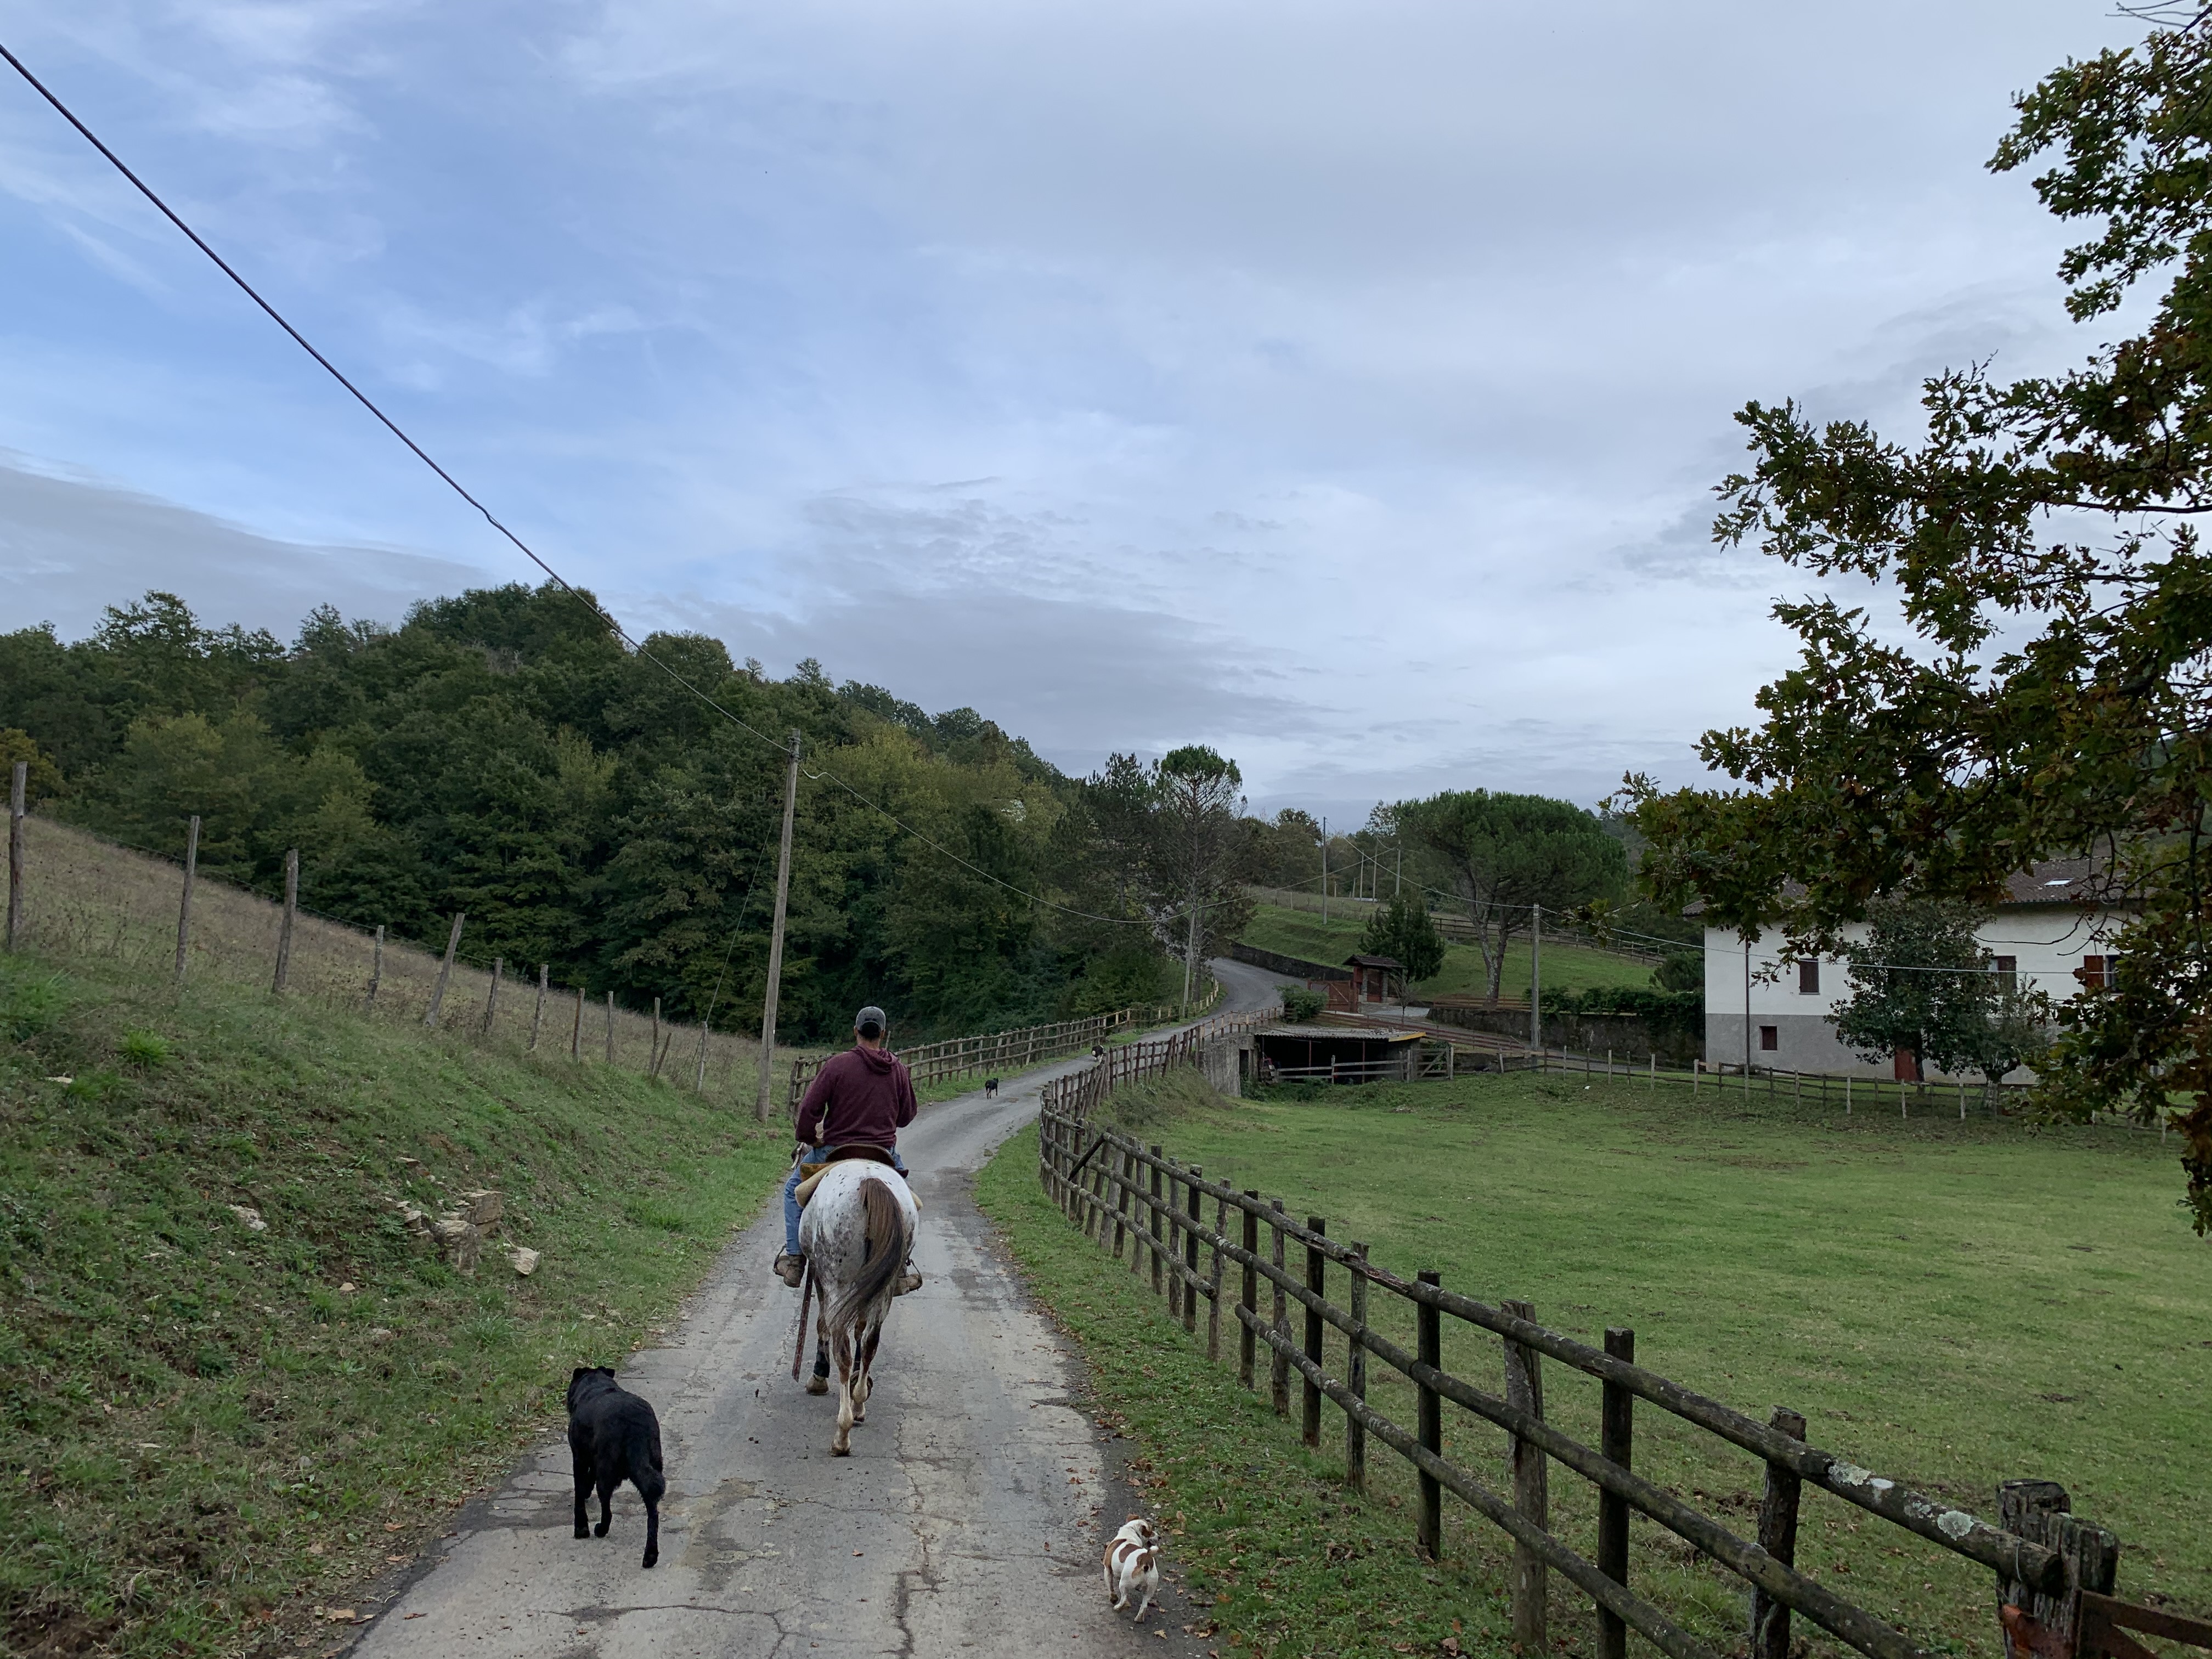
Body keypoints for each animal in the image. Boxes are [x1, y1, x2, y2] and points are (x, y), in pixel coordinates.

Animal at [566, 1366, 665, 1569]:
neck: (595, 1386)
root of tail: (635, 1426)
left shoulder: (579, 1458)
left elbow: (579, 1493)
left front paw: (581, 1529)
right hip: (651, 1467)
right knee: (653, 1511)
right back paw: (650, 1555)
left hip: (607, 1471)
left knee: (607, 1508)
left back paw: (601, 1530)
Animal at [794, 1159, 917, 1455]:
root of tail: (870, 1182)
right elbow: (861, 1330)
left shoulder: (821, 1279)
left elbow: (822, 1325)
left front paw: (818, 1378)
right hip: (886, 1287)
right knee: (871, 1340)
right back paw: (859, 1403)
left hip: (837, 1280)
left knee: (843, 1352)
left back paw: (842, 1435)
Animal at [1102, 1516, 1160, 1620]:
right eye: (1150, 1532)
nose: (1159, 1537)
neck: (1130, 1532)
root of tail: (1146, 1561)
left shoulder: (1107, 1569)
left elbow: (1111, 1587)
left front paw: (1113, 1599)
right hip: (1150, 1589)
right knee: (1144, 1605)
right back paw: (1139, 1619)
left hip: (1124, 1583)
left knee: (1124, 1598)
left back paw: (1117, 1607)